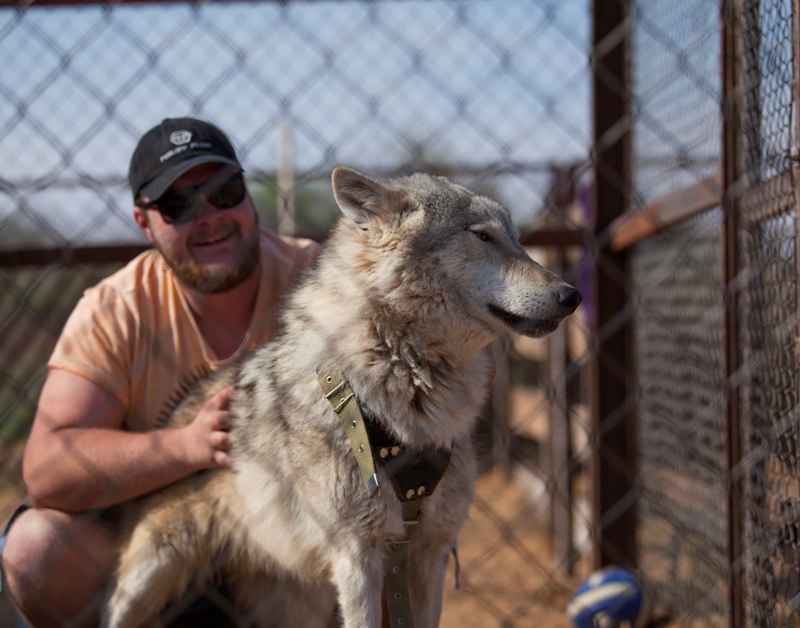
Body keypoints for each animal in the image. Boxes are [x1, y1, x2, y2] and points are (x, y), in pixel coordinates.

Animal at [104, 167, 580, 628]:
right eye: (482, 236)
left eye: (517, 240)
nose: (572, 295)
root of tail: (176, 410)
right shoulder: (358, 554)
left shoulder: (430, 552)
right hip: (147, 581)